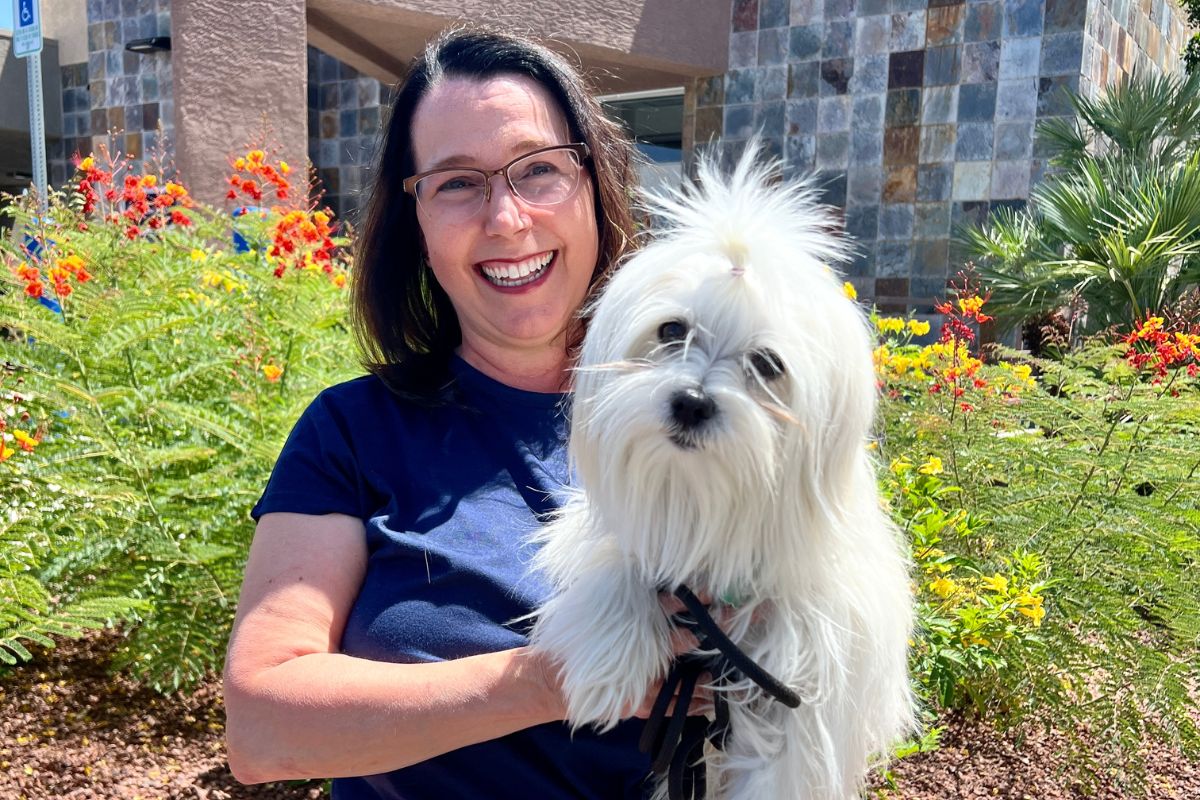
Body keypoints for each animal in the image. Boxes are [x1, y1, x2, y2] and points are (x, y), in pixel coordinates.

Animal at [530, 145, 912, 800]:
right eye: (671, 330)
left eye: (767, 364)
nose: (691, 401)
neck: (707, 496)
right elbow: (619, 560)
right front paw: (610, 664)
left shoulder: (804, 674)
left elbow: (784, 762)